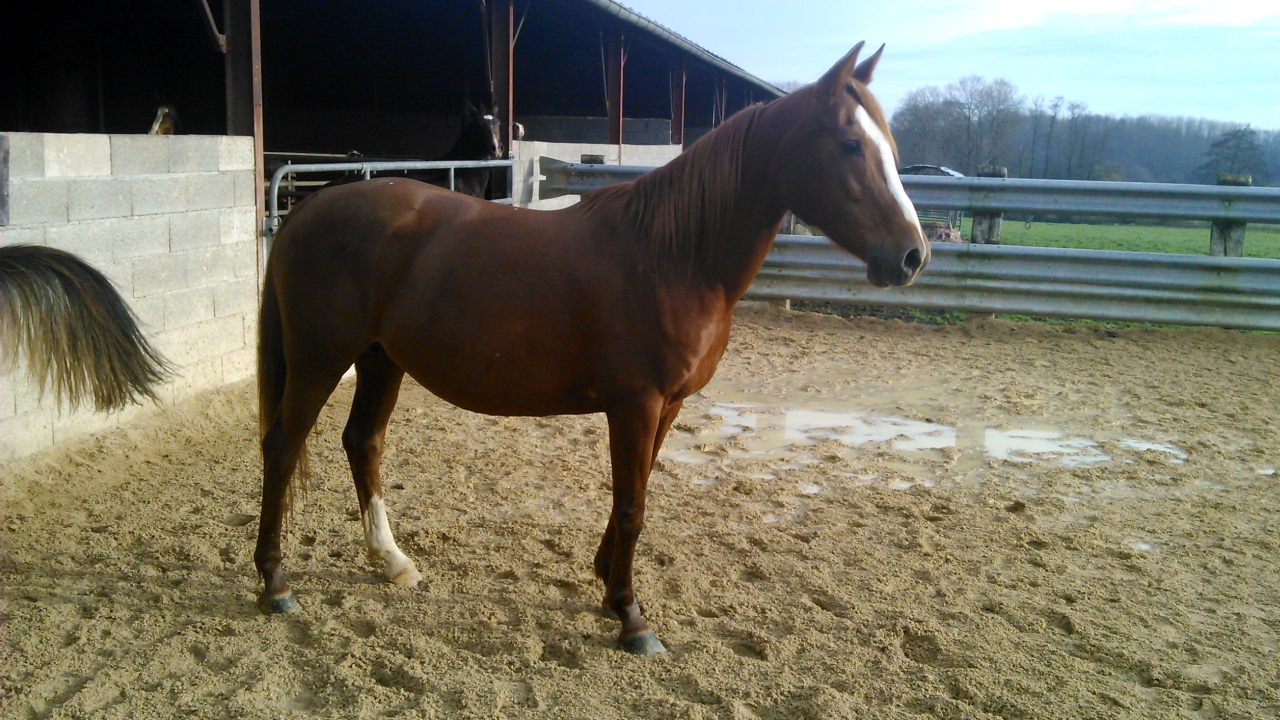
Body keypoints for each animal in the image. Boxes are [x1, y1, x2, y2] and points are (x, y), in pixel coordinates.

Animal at [254, 42, 928, 655]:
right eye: (850, 145)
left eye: (892, 147)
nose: (912, 255)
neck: (673, 254)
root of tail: (306, 210)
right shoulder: (636, 404)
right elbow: (632, 506)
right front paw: (632, 618)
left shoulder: (667, 405)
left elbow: (638, 492)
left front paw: (607, 583)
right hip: (320, 360)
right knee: (283, 447)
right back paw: (275, 581)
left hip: (380, 359)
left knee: (362, 443)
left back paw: (390, 560)